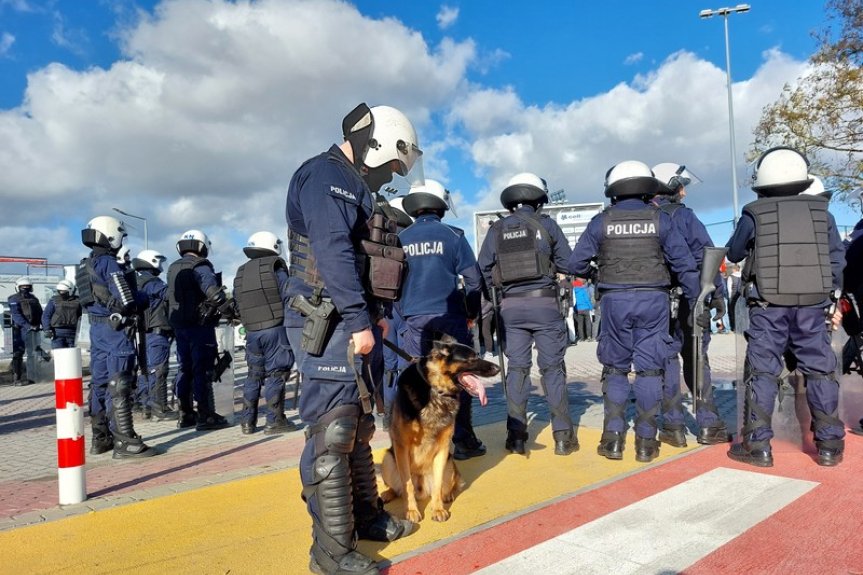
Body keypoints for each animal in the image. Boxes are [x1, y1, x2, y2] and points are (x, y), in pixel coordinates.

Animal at [380, 336, 500, 524]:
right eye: (472, 358)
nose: (499, 368)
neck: (435, 391)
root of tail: (422, 490)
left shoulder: (442, 449)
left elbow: (437, 485)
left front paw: (437, 509)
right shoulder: (401, 447)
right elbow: (407, 485)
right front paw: (411, 510)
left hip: (449, 464)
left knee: (448, 484)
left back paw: (447, 496)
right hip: (388, 459)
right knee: (399, 487)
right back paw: (388, 493)